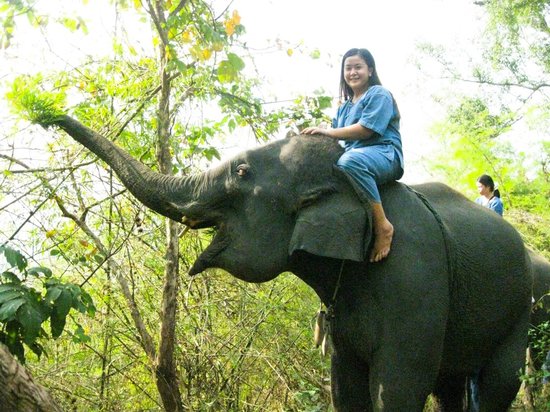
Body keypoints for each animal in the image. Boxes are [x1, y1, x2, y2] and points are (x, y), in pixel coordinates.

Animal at [43, 114, 536, 410]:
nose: (49, 115)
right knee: (452, 386)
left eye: (242, 172)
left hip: (521, 312)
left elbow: (399, 385)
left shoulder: (414, 280)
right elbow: (346, 386)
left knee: (497, 384)